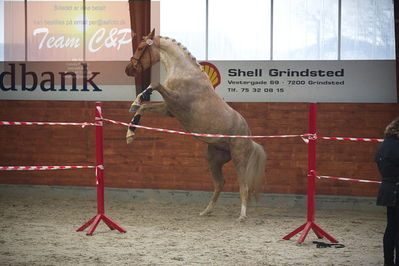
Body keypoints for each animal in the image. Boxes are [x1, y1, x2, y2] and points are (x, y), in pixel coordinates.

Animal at [126, 29, 268, 221]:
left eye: (141, 47)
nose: (128, 69)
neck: (185, 73)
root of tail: (250, 138)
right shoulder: (169, 109)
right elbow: (142, 108)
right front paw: (130, 133)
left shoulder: (177, 101)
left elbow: (154, 84)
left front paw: (140, 97)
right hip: (214, 159)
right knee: (220, 183)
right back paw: (206, 211)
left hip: (239, 158)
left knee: (243, 186)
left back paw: (242, 216)